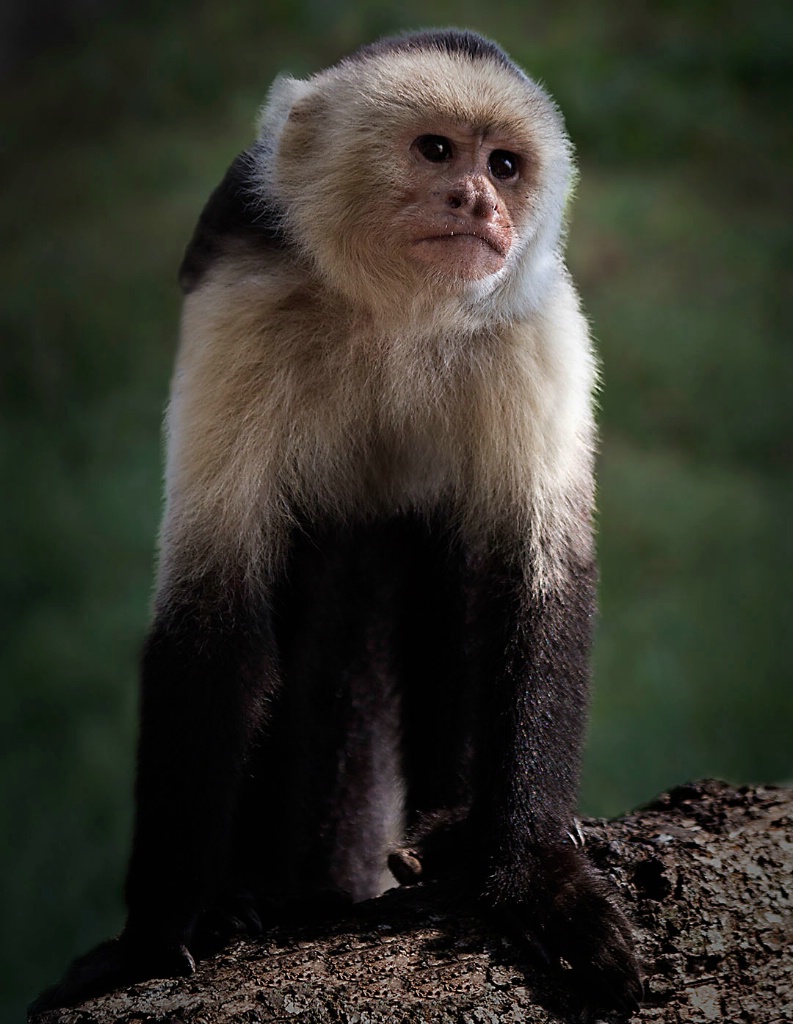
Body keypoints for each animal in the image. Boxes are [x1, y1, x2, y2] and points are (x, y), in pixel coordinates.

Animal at [34, 29, 647, 1015]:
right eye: (436, 150)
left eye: (504, 165)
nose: (478, 201)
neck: (397, 312)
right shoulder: (243, 293)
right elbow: (215, 611)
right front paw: (153, 937)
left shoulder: (534, 323)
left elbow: (538, 590)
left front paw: (535, 880)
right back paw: (249, 893)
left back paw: (450, 833)